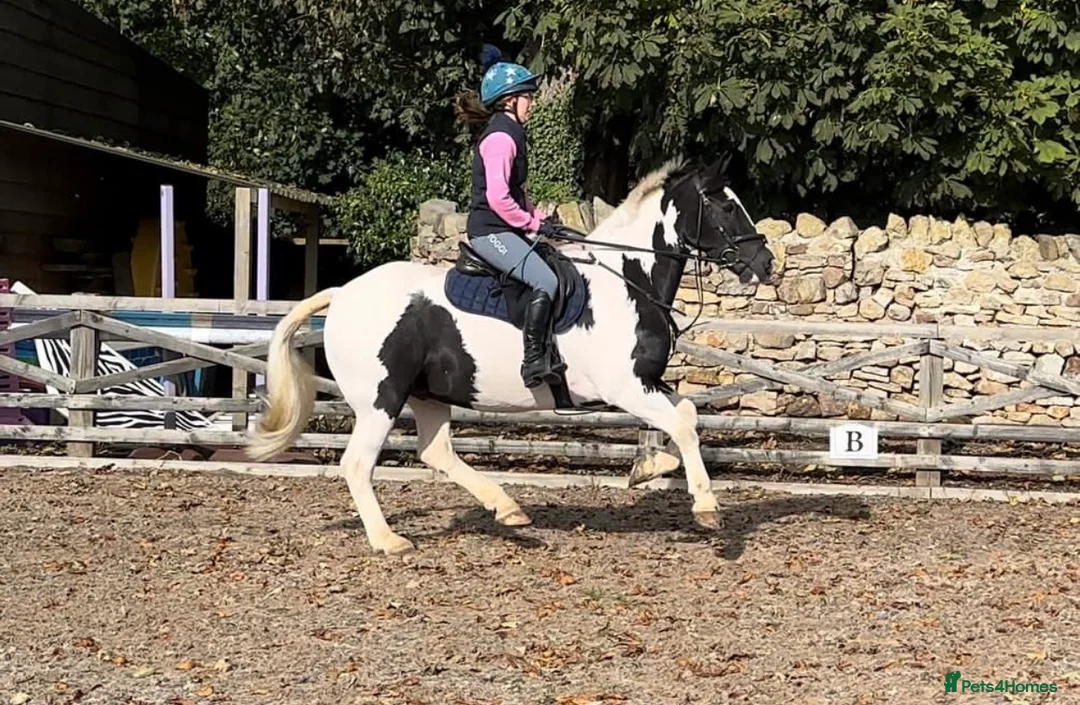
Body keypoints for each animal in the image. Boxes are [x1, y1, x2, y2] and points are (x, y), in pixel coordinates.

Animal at [246, 157, 778, 555]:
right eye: (723, 206)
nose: (765, 264)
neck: (629, 281)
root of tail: (342, 294)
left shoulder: (647, 381)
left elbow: (685, 416)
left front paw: (650, 469)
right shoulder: (624, 388)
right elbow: (684, 426)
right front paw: (705, 508)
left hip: (428, 395)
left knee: (435, 452)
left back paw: (507, 508)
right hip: (381, 399)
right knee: (358, 463)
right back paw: (388, 540)